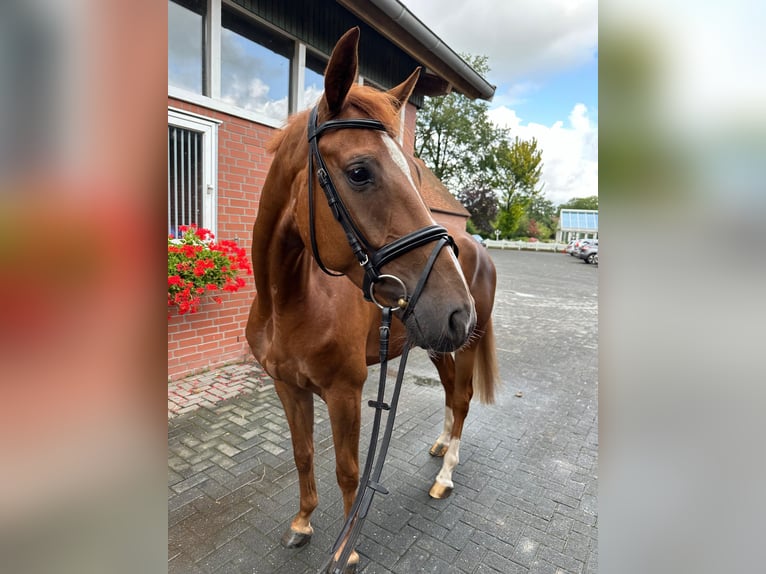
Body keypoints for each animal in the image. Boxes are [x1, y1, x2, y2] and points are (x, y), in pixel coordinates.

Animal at [243, 27, 500, 572]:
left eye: (417, 175)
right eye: (360, 172)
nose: (458, 310)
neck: (288, 303)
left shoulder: (345, 393)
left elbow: (349, 470)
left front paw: (347, 548)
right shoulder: (287, 387)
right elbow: (302, 454)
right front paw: (303, 522)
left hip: (459, 346)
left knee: (464, 398)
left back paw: (445, 474)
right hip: (436, 344)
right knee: (451, 394)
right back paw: (439, 445)